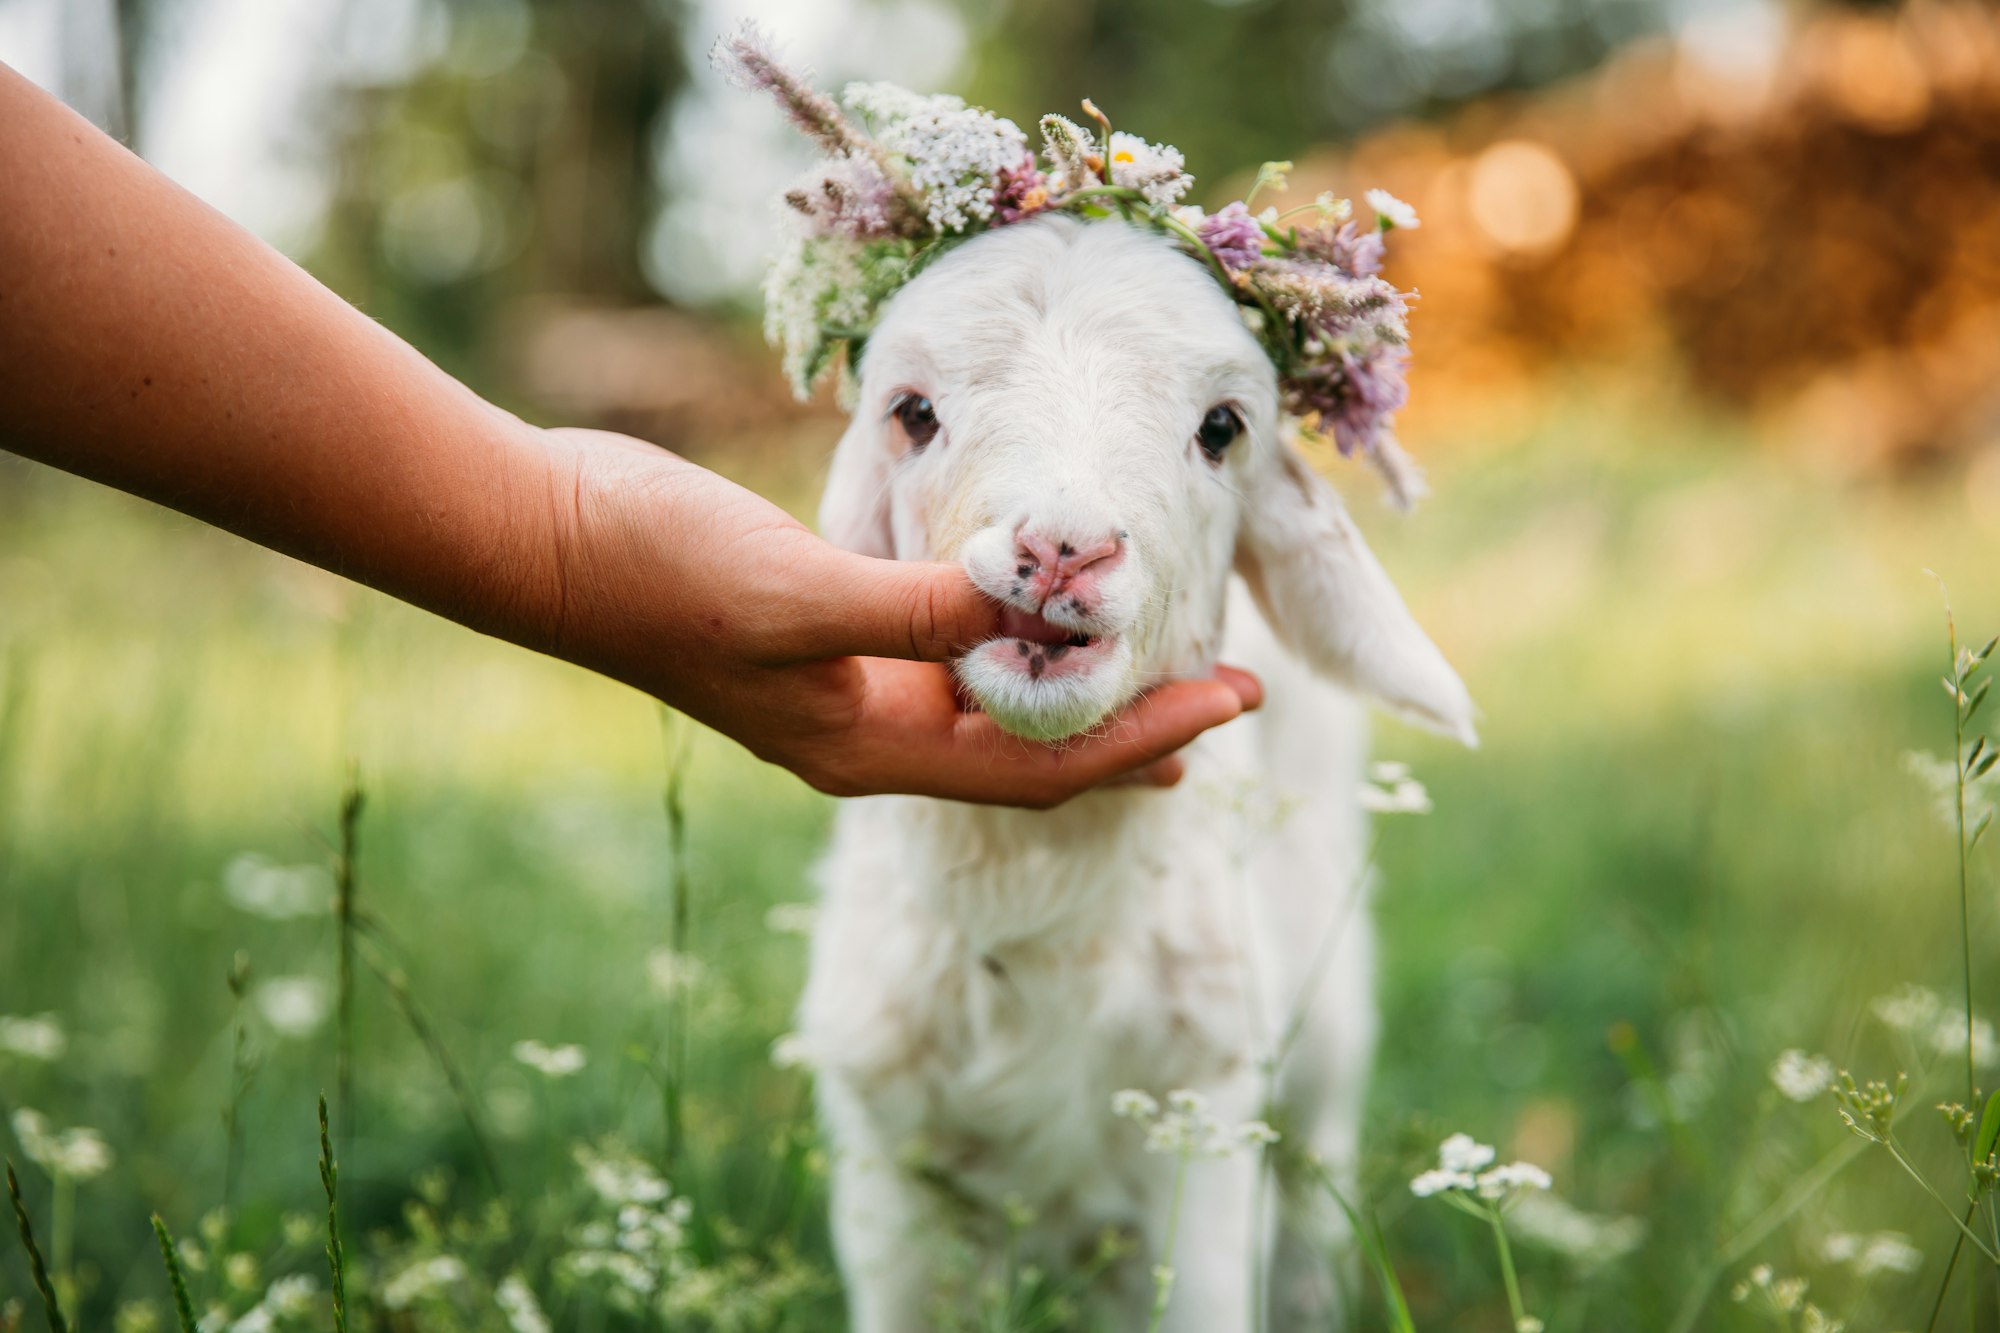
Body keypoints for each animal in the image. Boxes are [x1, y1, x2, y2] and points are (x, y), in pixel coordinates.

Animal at [792, 213, 1472, 1320]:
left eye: (1221, 428)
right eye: (913, 413)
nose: (1062, 548)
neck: (1032, 884)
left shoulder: (1199, 1148)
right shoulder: (889, 1182)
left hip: (1321, 1032)